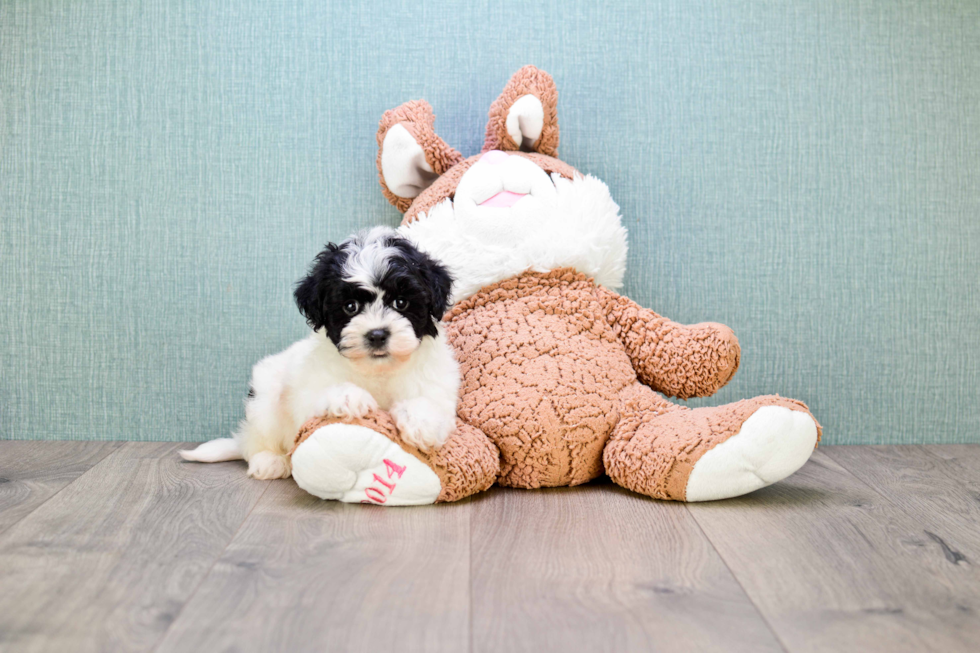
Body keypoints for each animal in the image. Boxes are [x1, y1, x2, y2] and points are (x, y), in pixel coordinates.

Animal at [181, 227, 460, 476]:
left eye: (401, 302)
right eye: (350, 306)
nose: (377, 334)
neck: (378, 370)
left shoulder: (437, 384)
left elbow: (430, 402)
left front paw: (420, 422)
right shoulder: (306, 391)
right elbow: (320, 394)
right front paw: (349, 397)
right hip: (264, 398)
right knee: (257, 439)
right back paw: (269, 461)